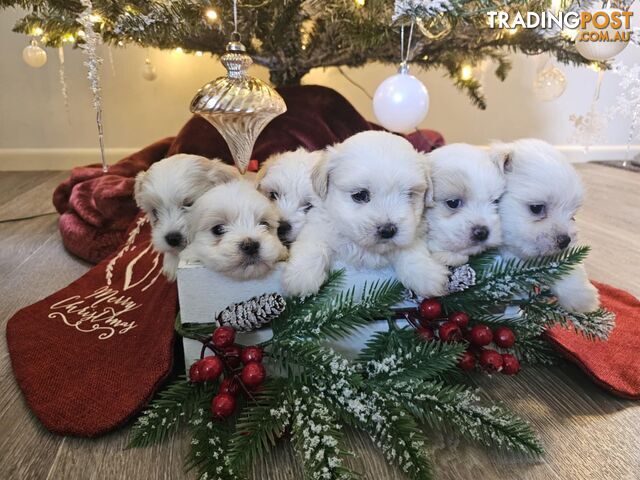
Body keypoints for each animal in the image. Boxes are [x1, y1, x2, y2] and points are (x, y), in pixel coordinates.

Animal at [282, 131, 448, 296]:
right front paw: (302, 275)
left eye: (410, 194)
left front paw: (426, 275)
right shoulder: (318, 225)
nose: (388, 230)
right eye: (360, 195)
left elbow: (412, 250)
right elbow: (312, 246)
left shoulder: (414, 231)